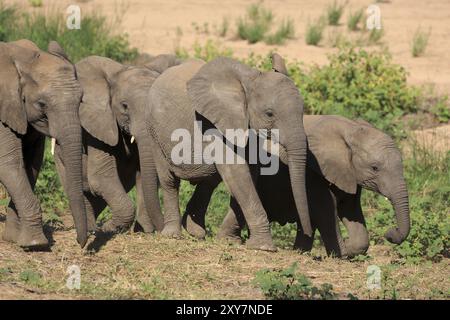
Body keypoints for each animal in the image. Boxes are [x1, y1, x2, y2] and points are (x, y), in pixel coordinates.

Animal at [0, 40, 87, 249]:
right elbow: (8, 163)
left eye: (80, 100)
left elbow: (31, 163)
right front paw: (35, 244)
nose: (80, 243)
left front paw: (13, 238)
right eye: (42, 104)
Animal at [52, 54, 179, 235]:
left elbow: (143, 175)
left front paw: (143, 231)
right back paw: (91, 228)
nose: (160, 229)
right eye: (124, 106)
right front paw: (111, 228)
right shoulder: (98, 126)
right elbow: (100, 177)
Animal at [144, 53, 312, 251]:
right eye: (269, 114)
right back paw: (173, 235)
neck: (250, 79)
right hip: (154, 132)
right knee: (169, 180)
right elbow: (237, 172)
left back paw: (195, 232)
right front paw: (264, 247)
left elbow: (250, 173)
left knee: (208, 183)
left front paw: (229, 240)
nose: (305, 232)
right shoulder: (214, 122)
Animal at [185, 114, 410, 258]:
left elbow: (350, 210)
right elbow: (326, 207)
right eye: (375, 168)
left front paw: (349, 249)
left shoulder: (350, 174)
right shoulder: (313, 169)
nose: (390, 233)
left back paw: (299, 251)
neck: (351, 128)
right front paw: (342, 253)